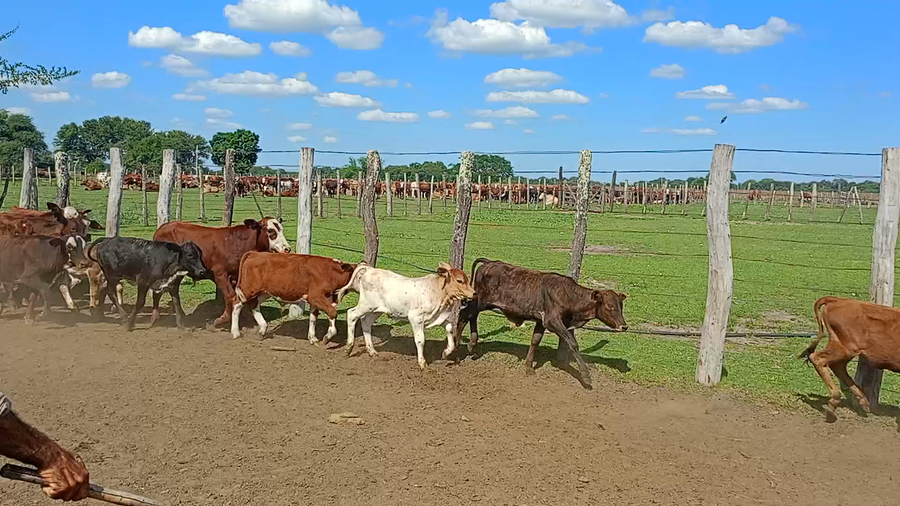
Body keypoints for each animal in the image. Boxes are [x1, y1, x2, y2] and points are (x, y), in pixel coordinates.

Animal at [152, 218, 291, 328]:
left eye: (281, 229)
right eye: (271, 231)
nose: (287, 249)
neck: (237, 243)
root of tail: (163, 228)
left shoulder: (236, 276)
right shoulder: (220, 274)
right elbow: (230, 296)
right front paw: (221, 320)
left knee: (173, 289)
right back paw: (156, 317)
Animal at [338, 262, 475, 369]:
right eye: (459, 280)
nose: (474, 293)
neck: (439, 293)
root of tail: (370, 269)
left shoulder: (439, 318)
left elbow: (450, 330)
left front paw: (446, 353)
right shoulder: (416, 318)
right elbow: (420, 340)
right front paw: (422, 363)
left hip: (376, 310)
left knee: (366, 323)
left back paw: (372, 351)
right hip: (367, 305)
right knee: (351, 314)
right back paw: (348, 348)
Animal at [459, 259, 627, 389]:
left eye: (621, 305)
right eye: (610, 306)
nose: (624, 326)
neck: (569, 295)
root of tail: (489, 262)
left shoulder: (543, 321)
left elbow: (535, 340)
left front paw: (528, 366)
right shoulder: (552, 321)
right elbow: (573, 343)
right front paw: (586, 376)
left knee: (471, 316)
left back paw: (471, 344)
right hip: (480, 301)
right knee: (465, 315)